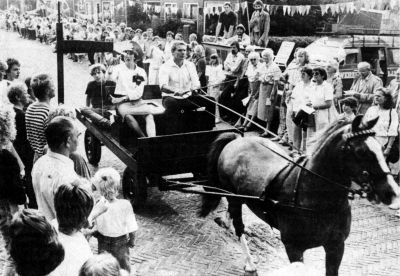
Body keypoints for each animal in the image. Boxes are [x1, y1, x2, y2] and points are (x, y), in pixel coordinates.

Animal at [200, 116, 400, 276]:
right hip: (233, 197)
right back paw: (249, 261)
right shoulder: (294, 249)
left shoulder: (336, 246)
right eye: (360, 151)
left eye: (382, 147)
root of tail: (236, 140)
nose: (392, 193)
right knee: (239, 225)